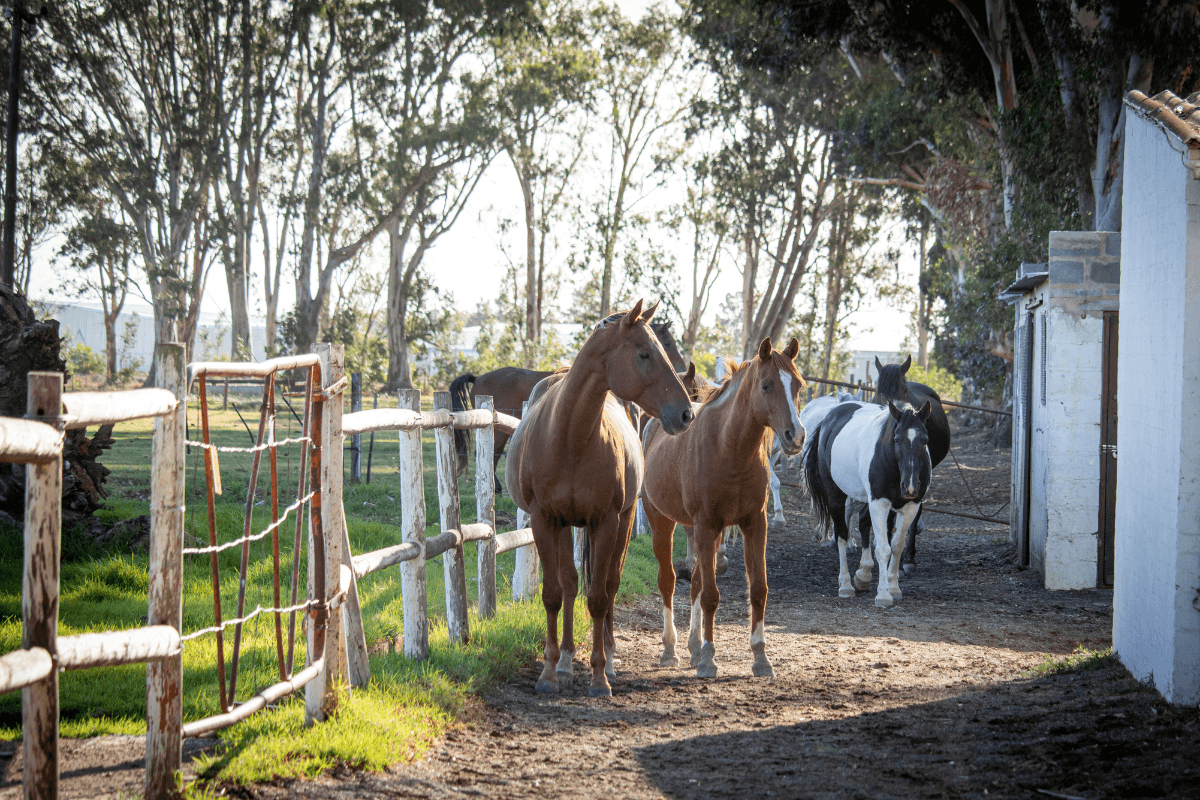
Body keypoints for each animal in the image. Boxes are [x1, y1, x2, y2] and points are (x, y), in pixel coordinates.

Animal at [504, 300, 693, 698]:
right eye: (644, 353)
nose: (686, 413)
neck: (569, 435)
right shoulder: (545, 520)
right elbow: (555, 593)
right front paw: (549, 672)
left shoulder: (605, 521)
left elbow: (599, 597)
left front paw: (599, 676)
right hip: (567, 527)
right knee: (572, 583)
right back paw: (565, 660)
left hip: (621, 521)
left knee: (609, 584)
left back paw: (608, 656)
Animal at [642, 337, 805, 679]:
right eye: (767, 386)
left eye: (797, 385)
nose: (795, 436)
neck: (729, 448)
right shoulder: (706, 524)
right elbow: (711, 596)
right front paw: (709, 659)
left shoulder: (753, 524)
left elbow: (757, 589)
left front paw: (760, 658)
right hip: (662, 521)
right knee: (669, 581)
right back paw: (671, 649)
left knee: (696, 583)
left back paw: (692, 646)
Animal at [802, 398, 932, 607]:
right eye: (897, 439)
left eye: (925, 440)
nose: (910, 487)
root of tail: (830, 416)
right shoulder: (879, 503)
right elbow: (883, 549)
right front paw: (884, 595)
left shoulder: (911, 507)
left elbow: (897, 546)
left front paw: (894, 588)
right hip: (836, 497)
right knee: (841, 536)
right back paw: (846, 585)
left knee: (862, 525)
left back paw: (862, 576)